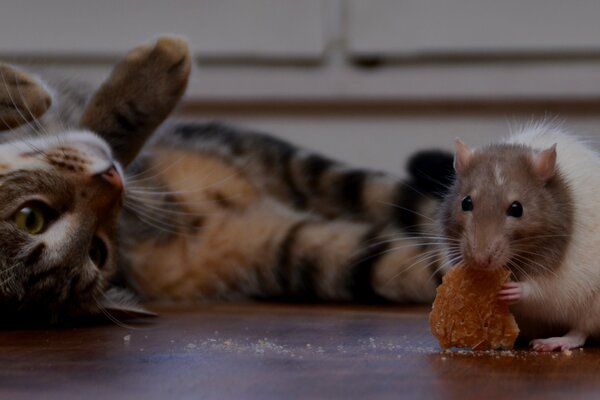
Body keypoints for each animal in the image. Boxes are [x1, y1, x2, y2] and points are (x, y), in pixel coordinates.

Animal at [0, 36, 452, 324]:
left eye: (30, 218)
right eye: (98, 251)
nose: (113, 180)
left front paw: (23, 89)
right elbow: (104, 130)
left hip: (322, 175)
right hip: (334, 254)